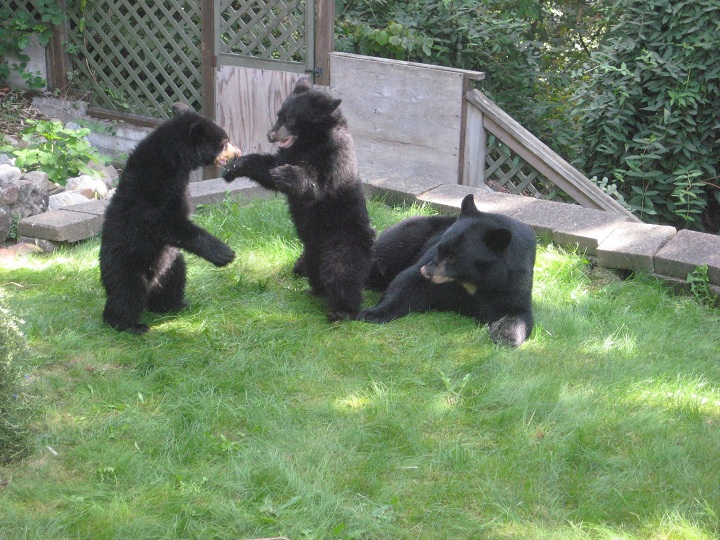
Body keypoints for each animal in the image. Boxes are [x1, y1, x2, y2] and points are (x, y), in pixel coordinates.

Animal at [99, 105, 239, 334]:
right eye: (224, 142)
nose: (238, 152)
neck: (173, 159)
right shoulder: (154, 191)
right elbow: (168, 223)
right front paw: (224, 253)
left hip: (171, 264)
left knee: (175, 279)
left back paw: (174, 304)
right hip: (125, 265)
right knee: (127, 293)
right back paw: (128, 324)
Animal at [223, 78, 375, 322]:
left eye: (290, 119)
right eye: (279, 114)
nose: (270, 135)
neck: (309, 142)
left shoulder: (333, 156)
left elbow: (319, 185)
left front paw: (286, 174)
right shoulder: (289, 152)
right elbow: (267, 167)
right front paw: (235, 165)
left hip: (343, 240)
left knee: (342, 273)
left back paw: (342, 310)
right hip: (312, 249)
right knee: (316, 269)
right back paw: (315, 289)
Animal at [357, 194, 536, 347]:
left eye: (452, 257)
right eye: (440, 247)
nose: (426, 271)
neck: (470, 281)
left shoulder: (510, 283)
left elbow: (516, 311)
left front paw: (507, 337)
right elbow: (408, 284)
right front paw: (371, 313)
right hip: (408, 236)